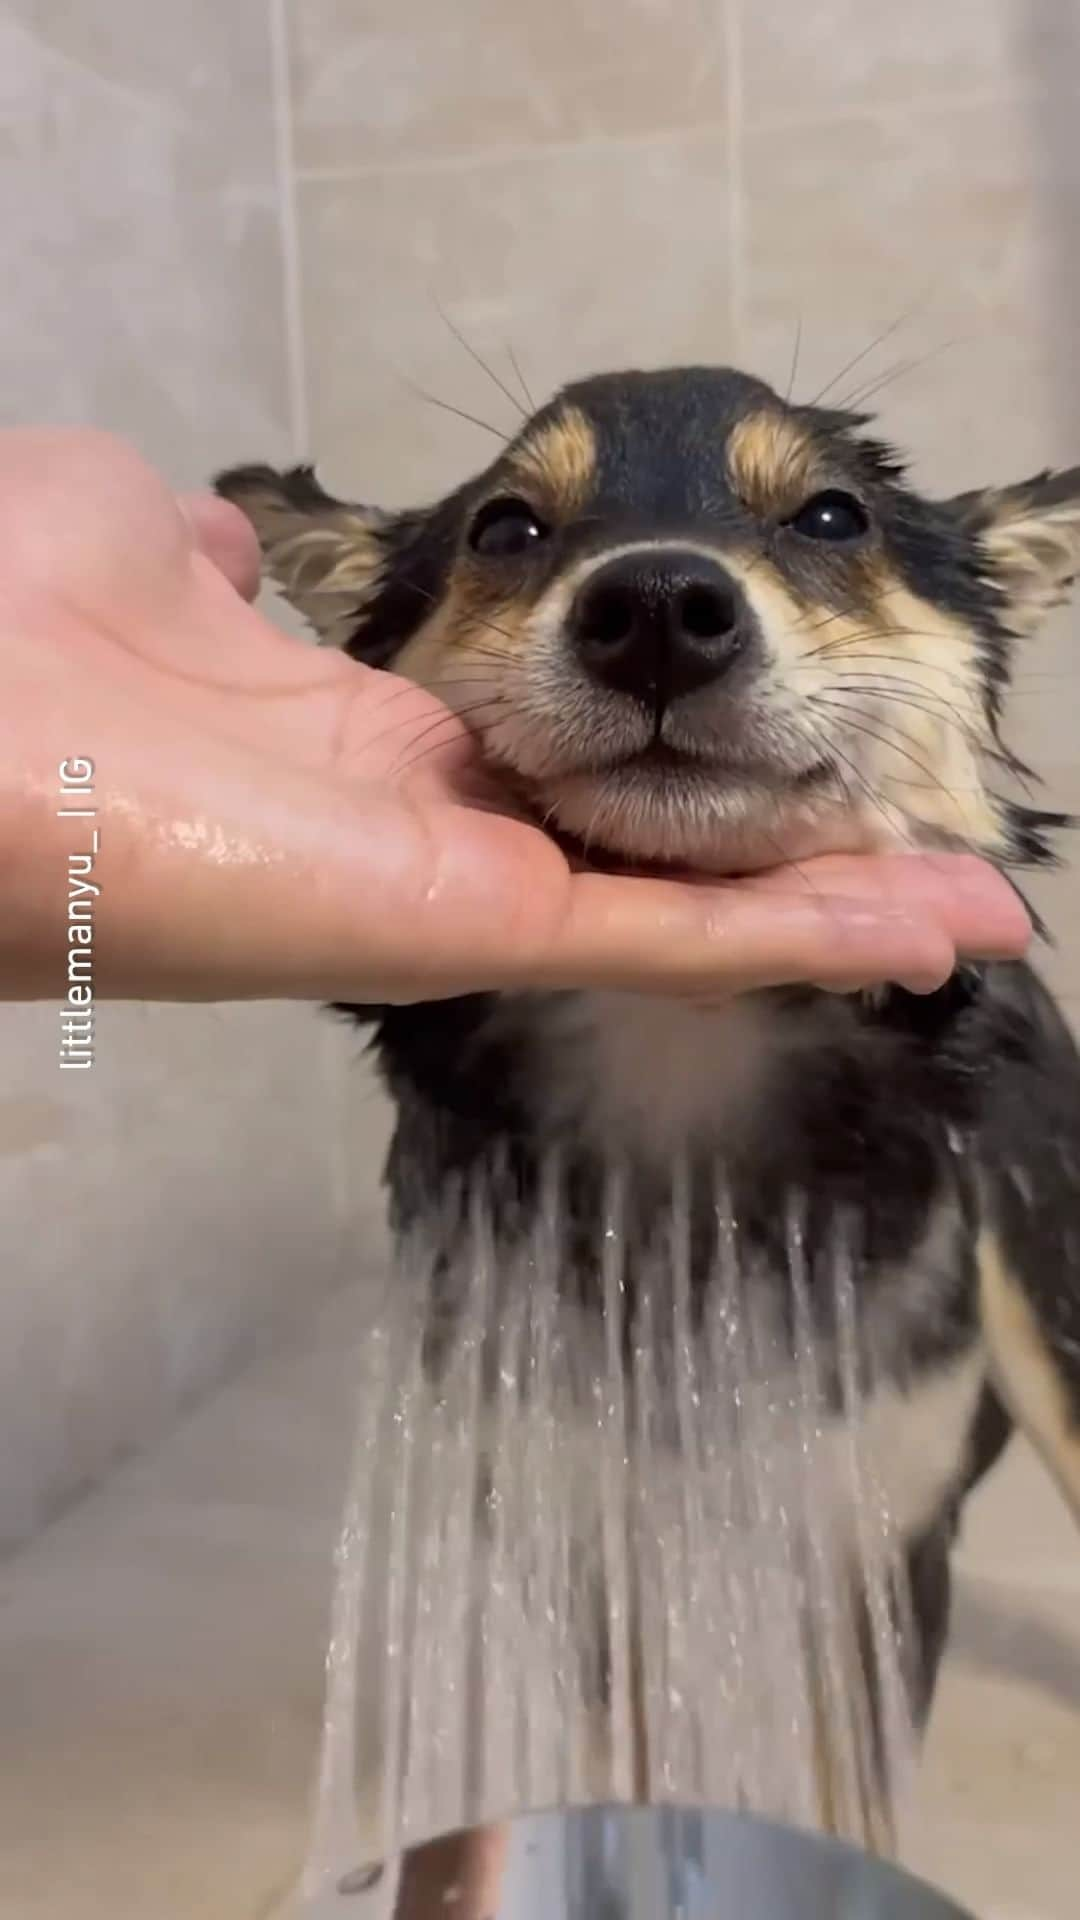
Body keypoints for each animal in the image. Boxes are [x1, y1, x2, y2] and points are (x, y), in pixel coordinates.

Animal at [216, 366, 1076, 1820]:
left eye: (832, 517)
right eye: (506, 528)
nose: (661, 602)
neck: (680, 1056)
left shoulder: (879, 1536)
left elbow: (850, 1793)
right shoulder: (579, 1528)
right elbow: (638, 1764)